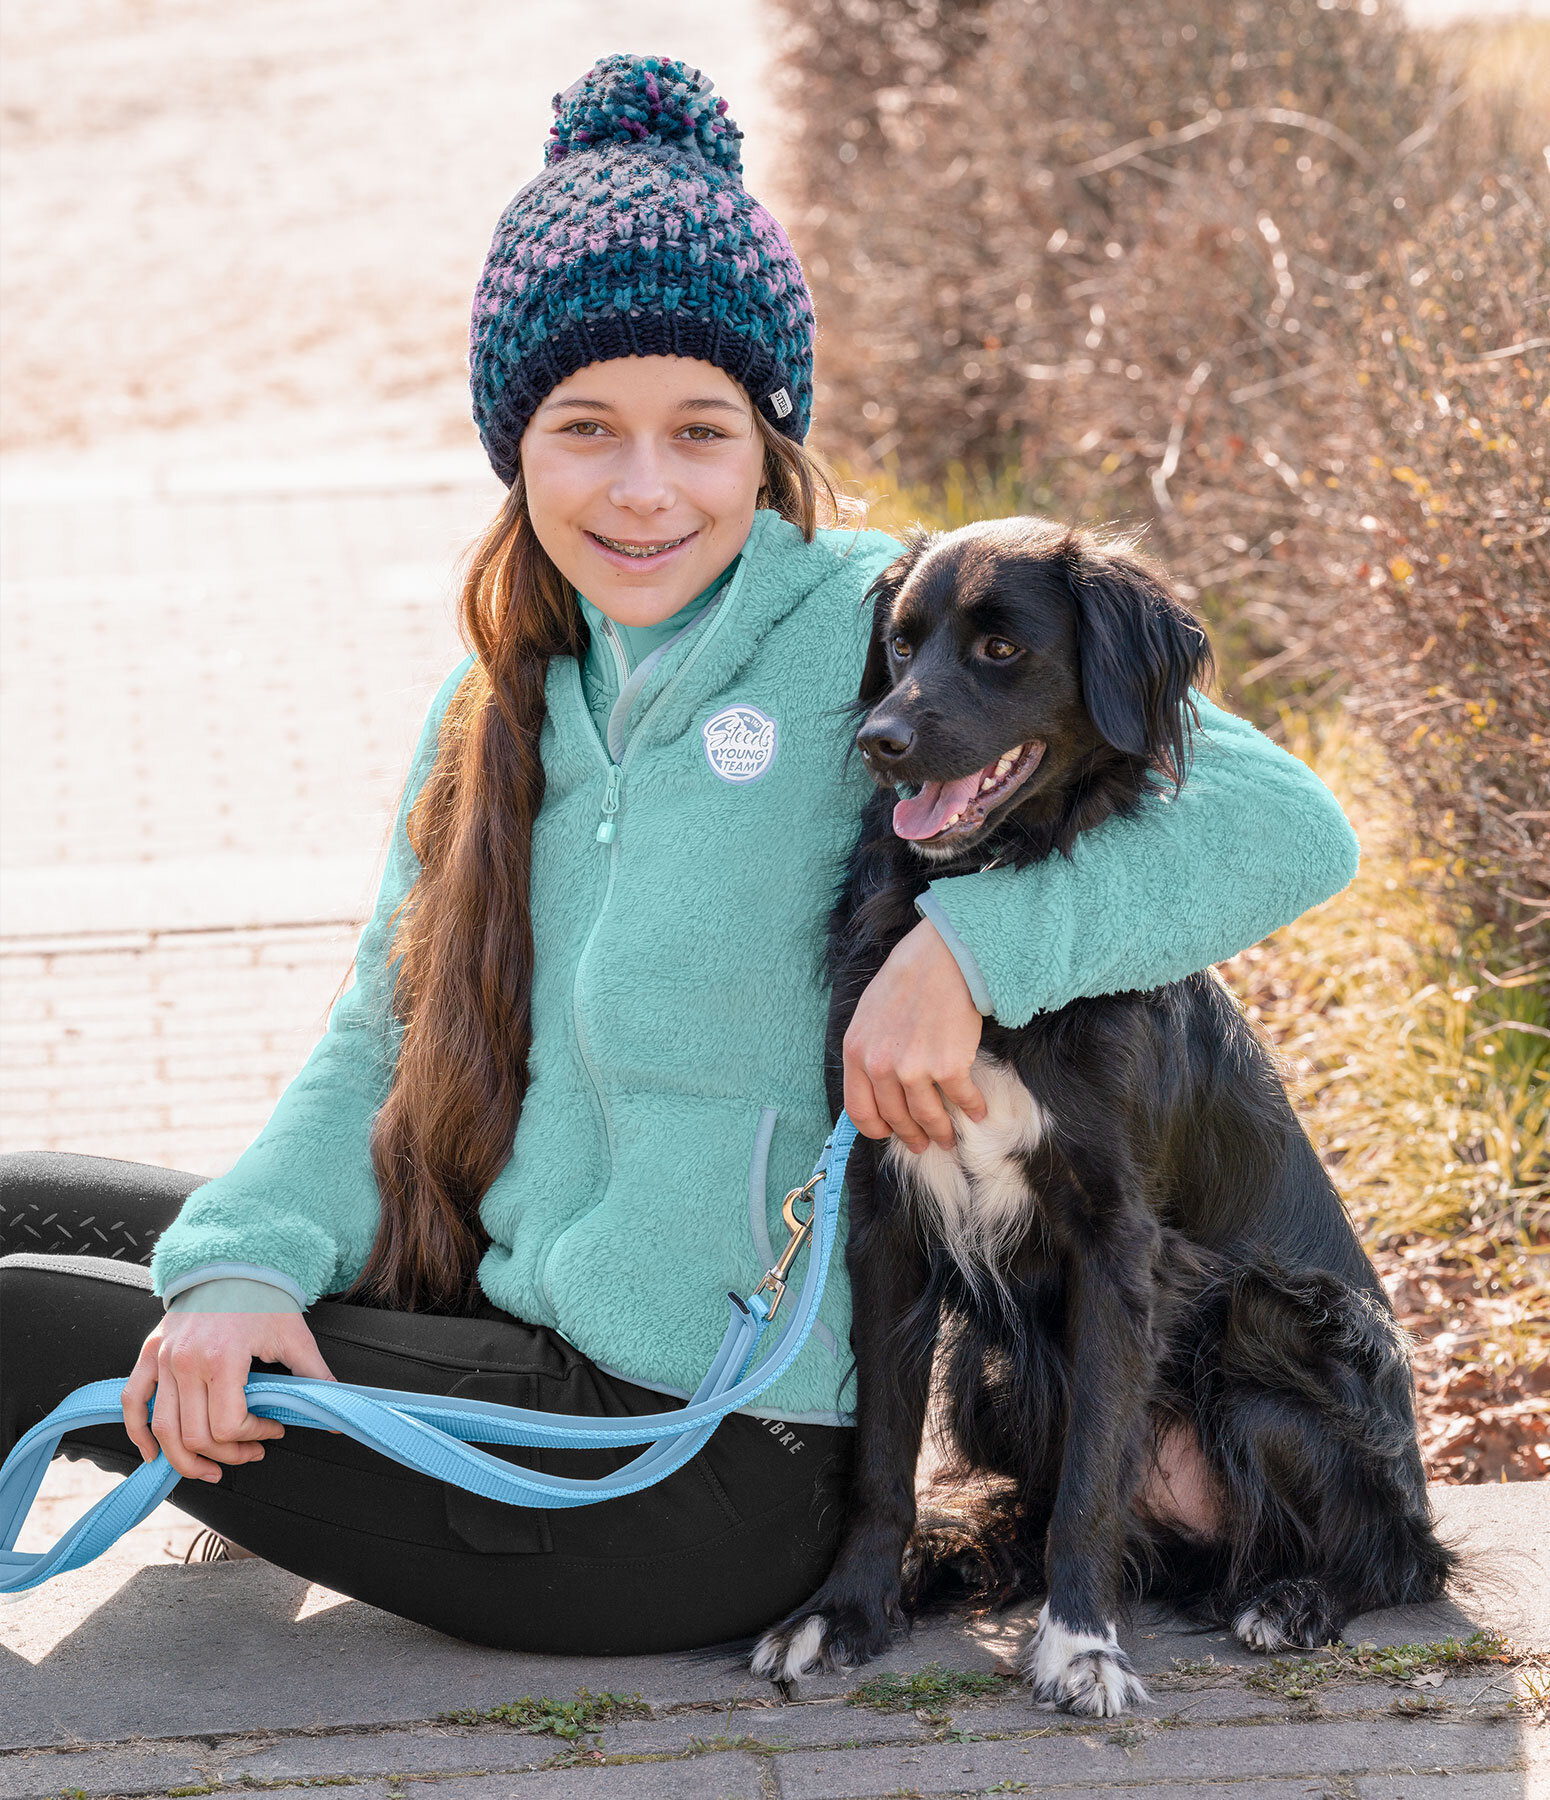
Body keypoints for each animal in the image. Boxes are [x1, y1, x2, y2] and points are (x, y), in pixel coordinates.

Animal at [748, 518, 1454, 1713]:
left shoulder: (1116, 1244)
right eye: (899, 646)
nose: (883, 743)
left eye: (999, 649)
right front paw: (844, 1611)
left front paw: (1081, 1644)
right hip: (989, 1378)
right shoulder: (885, 1215)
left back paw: (1293, 1600)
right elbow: (882, 1455)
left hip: (1272, 1325)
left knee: (1400, 1553)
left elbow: (1091, 1477)